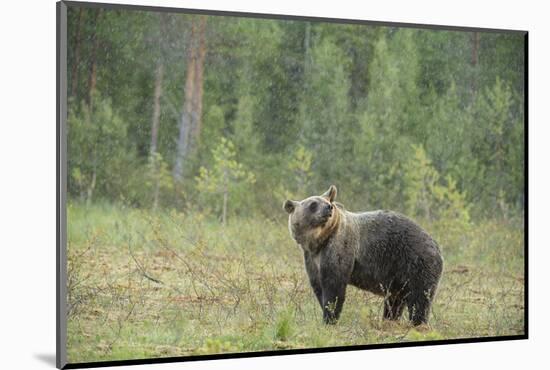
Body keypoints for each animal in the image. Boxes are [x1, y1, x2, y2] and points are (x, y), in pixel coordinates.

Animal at [284, 186, 444, 326]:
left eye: (327, 201)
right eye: (313, 204)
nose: (328, 207)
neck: (319, 240)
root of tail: (436, 245)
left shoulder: (339, 247)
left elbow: (334, 286)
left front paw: (329, 318)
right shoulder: (312, 258)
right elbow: (318, 286)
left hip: (415, 261)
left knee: (420, 298)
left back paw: (417, 323)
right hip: (399, 276)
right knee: (395, 301)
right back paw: (389, 320)